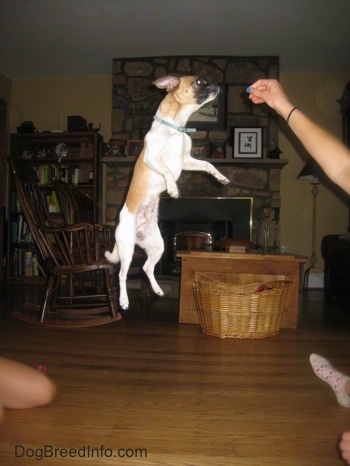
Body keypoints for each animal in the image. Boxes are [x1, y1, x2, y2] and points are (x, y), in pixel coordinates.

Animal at [104, 75, 230, 310]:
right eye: (199, 82)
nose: (217, 85)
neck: (176, 128)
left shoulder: (187, 160)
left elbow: (207, 164)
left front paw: (220, 177)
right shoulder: (152, 158)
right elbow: (167, 171)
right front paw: (172, 188)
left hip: (158, 247)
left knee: (146, 268)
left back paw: (157, 289)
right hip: (127, 250)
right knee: (122, 275)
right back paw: (124, 300)